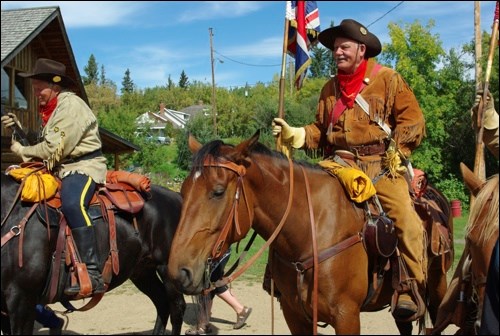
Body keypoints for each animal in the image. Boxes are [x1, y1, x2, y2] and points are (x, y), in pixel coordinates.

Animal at [167, 131, 454, 334]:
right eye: (183, 191)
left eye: (217, 192)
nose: (178, 271)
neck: (311, 231)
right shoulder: (294, 315)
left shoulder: (347, 316)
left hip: (438, 287)